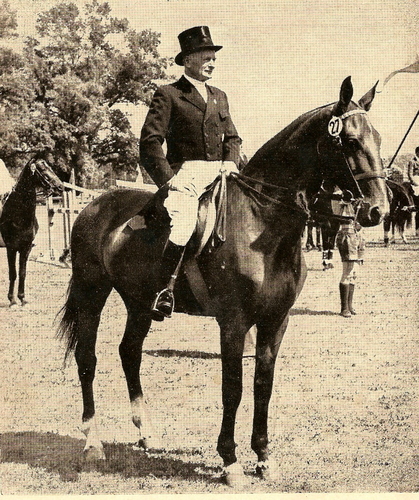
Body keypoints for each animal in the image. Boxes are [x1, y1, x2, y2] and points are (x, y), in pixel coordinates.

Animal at [0, 157, 62, 304]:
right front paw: (12, 300)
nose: (60, 187)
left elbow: (22, 273)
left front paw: (22, 298)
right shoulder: (11, 247)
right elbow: (13, 273)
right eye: (43, 169)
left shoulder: (26, 247)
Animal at [57, 77, 388, 484]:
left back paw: (147, 433)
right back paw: (93, 444)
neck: (262, 222)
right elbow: (234, 388)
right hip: (91, 293)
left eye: (378, 138)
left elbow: (263, 385)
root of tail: (93, 205)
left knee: (129, 353)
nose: (378, 209)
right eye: (351, 142)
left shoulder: (276, 320)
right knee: (87, 359)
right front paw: (230, 461)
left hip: (140, 303)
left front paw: (263, 457)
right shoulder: (233, 322)